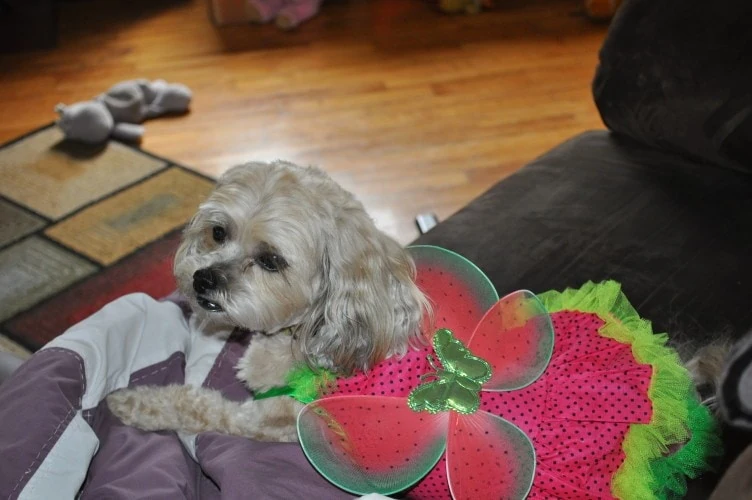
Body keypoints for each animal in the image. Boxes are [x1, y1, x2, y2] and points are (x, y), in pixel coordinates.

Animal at [108, 160, 432, 442]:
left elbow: (196, 405)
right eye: (218, 232)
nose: (203, 279)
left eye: (270, 260)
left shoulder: (265, 420)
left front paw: (136, 403)